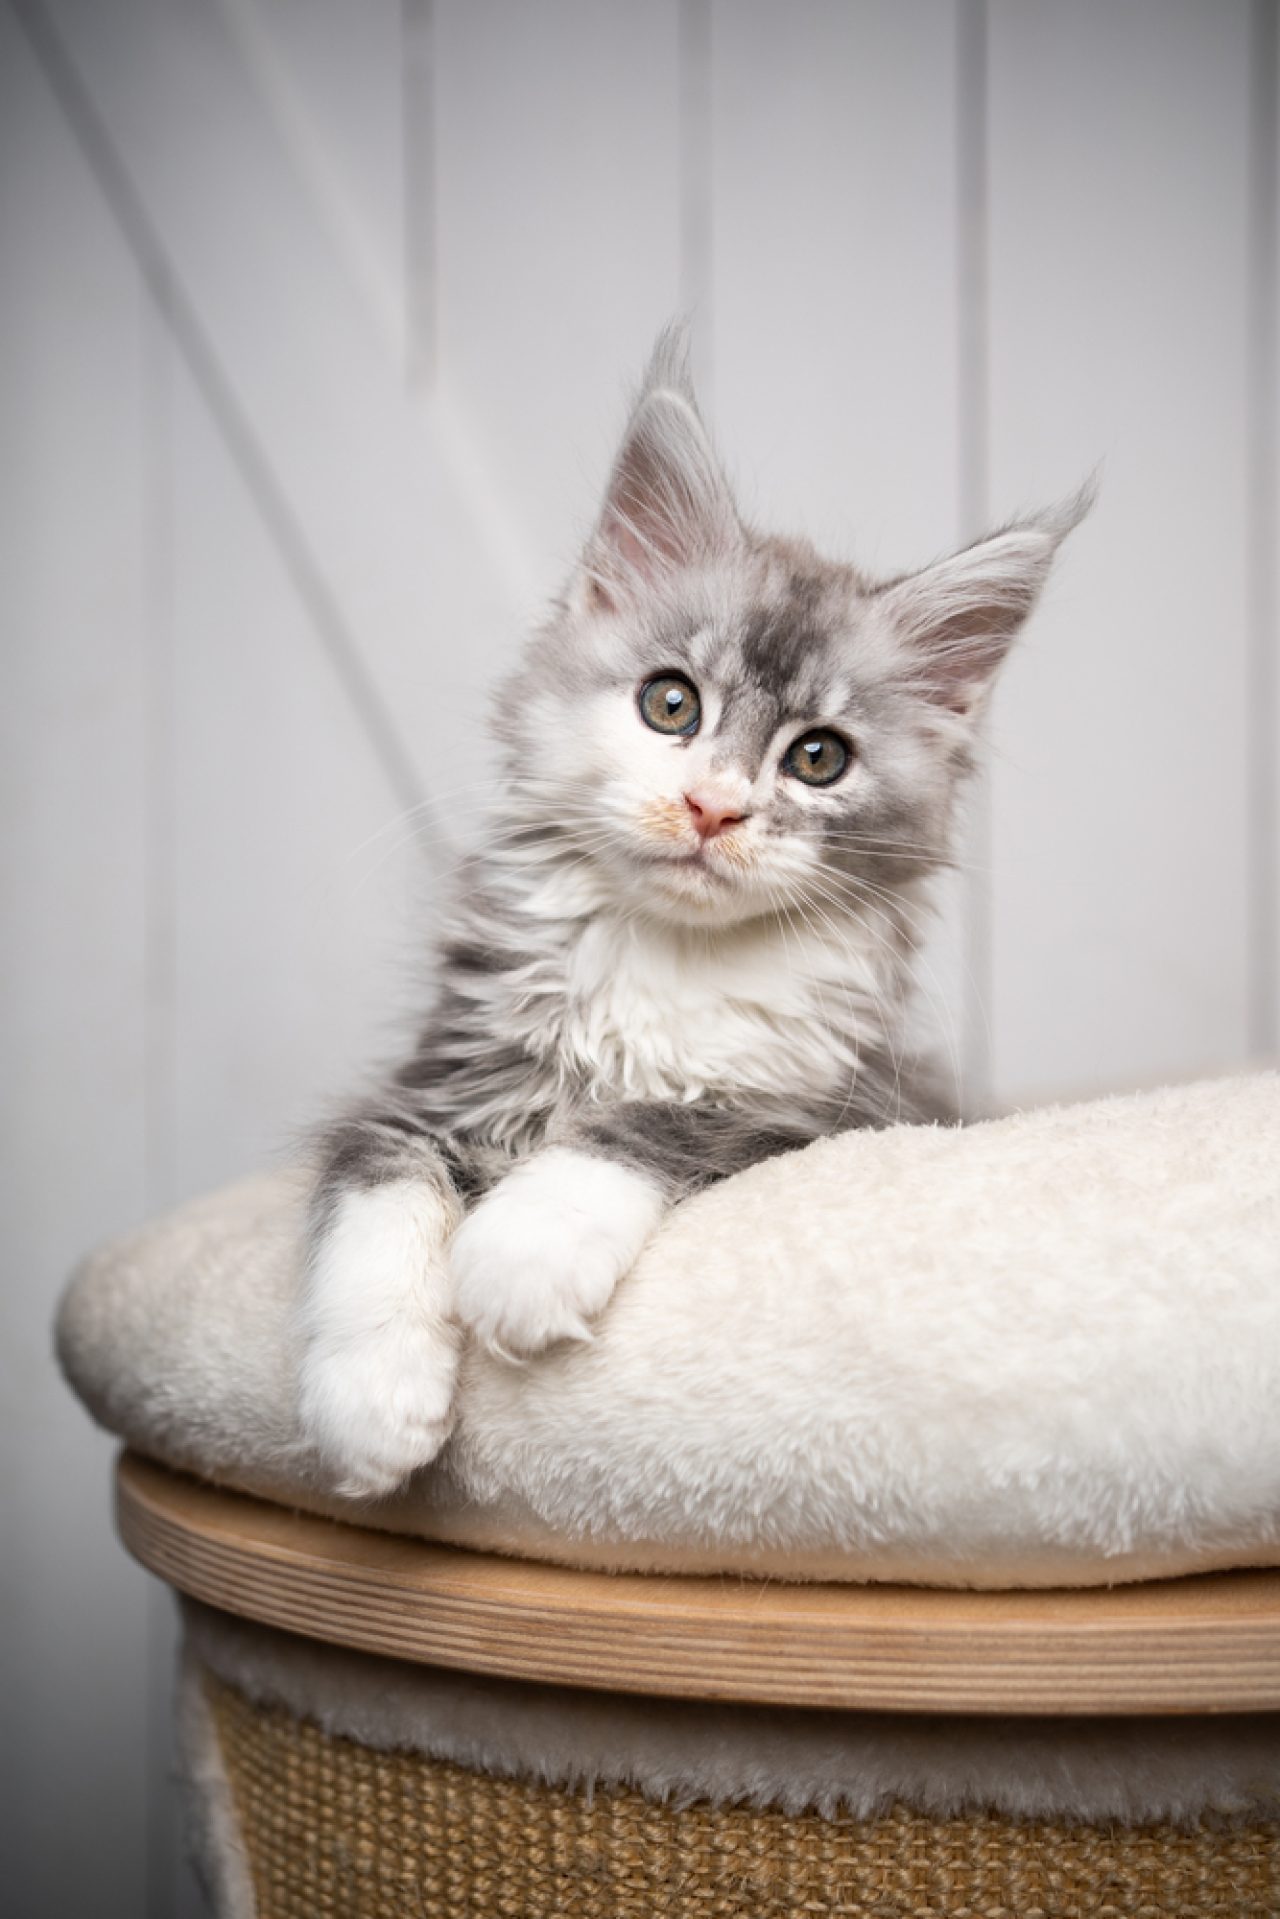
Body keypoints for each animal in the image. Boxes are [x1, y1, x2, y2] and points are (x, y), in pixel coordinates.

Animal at [295, 333, 1090, 1496]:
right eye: (670, 703)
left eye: (818, 757)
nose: (713, 806)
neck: (663, 961)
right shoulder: (427, 1082)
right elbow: (372, 1185)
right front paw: (369, 1398)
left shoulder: (822, 1111)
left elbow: (657, 1122)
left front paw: (519, 1253)